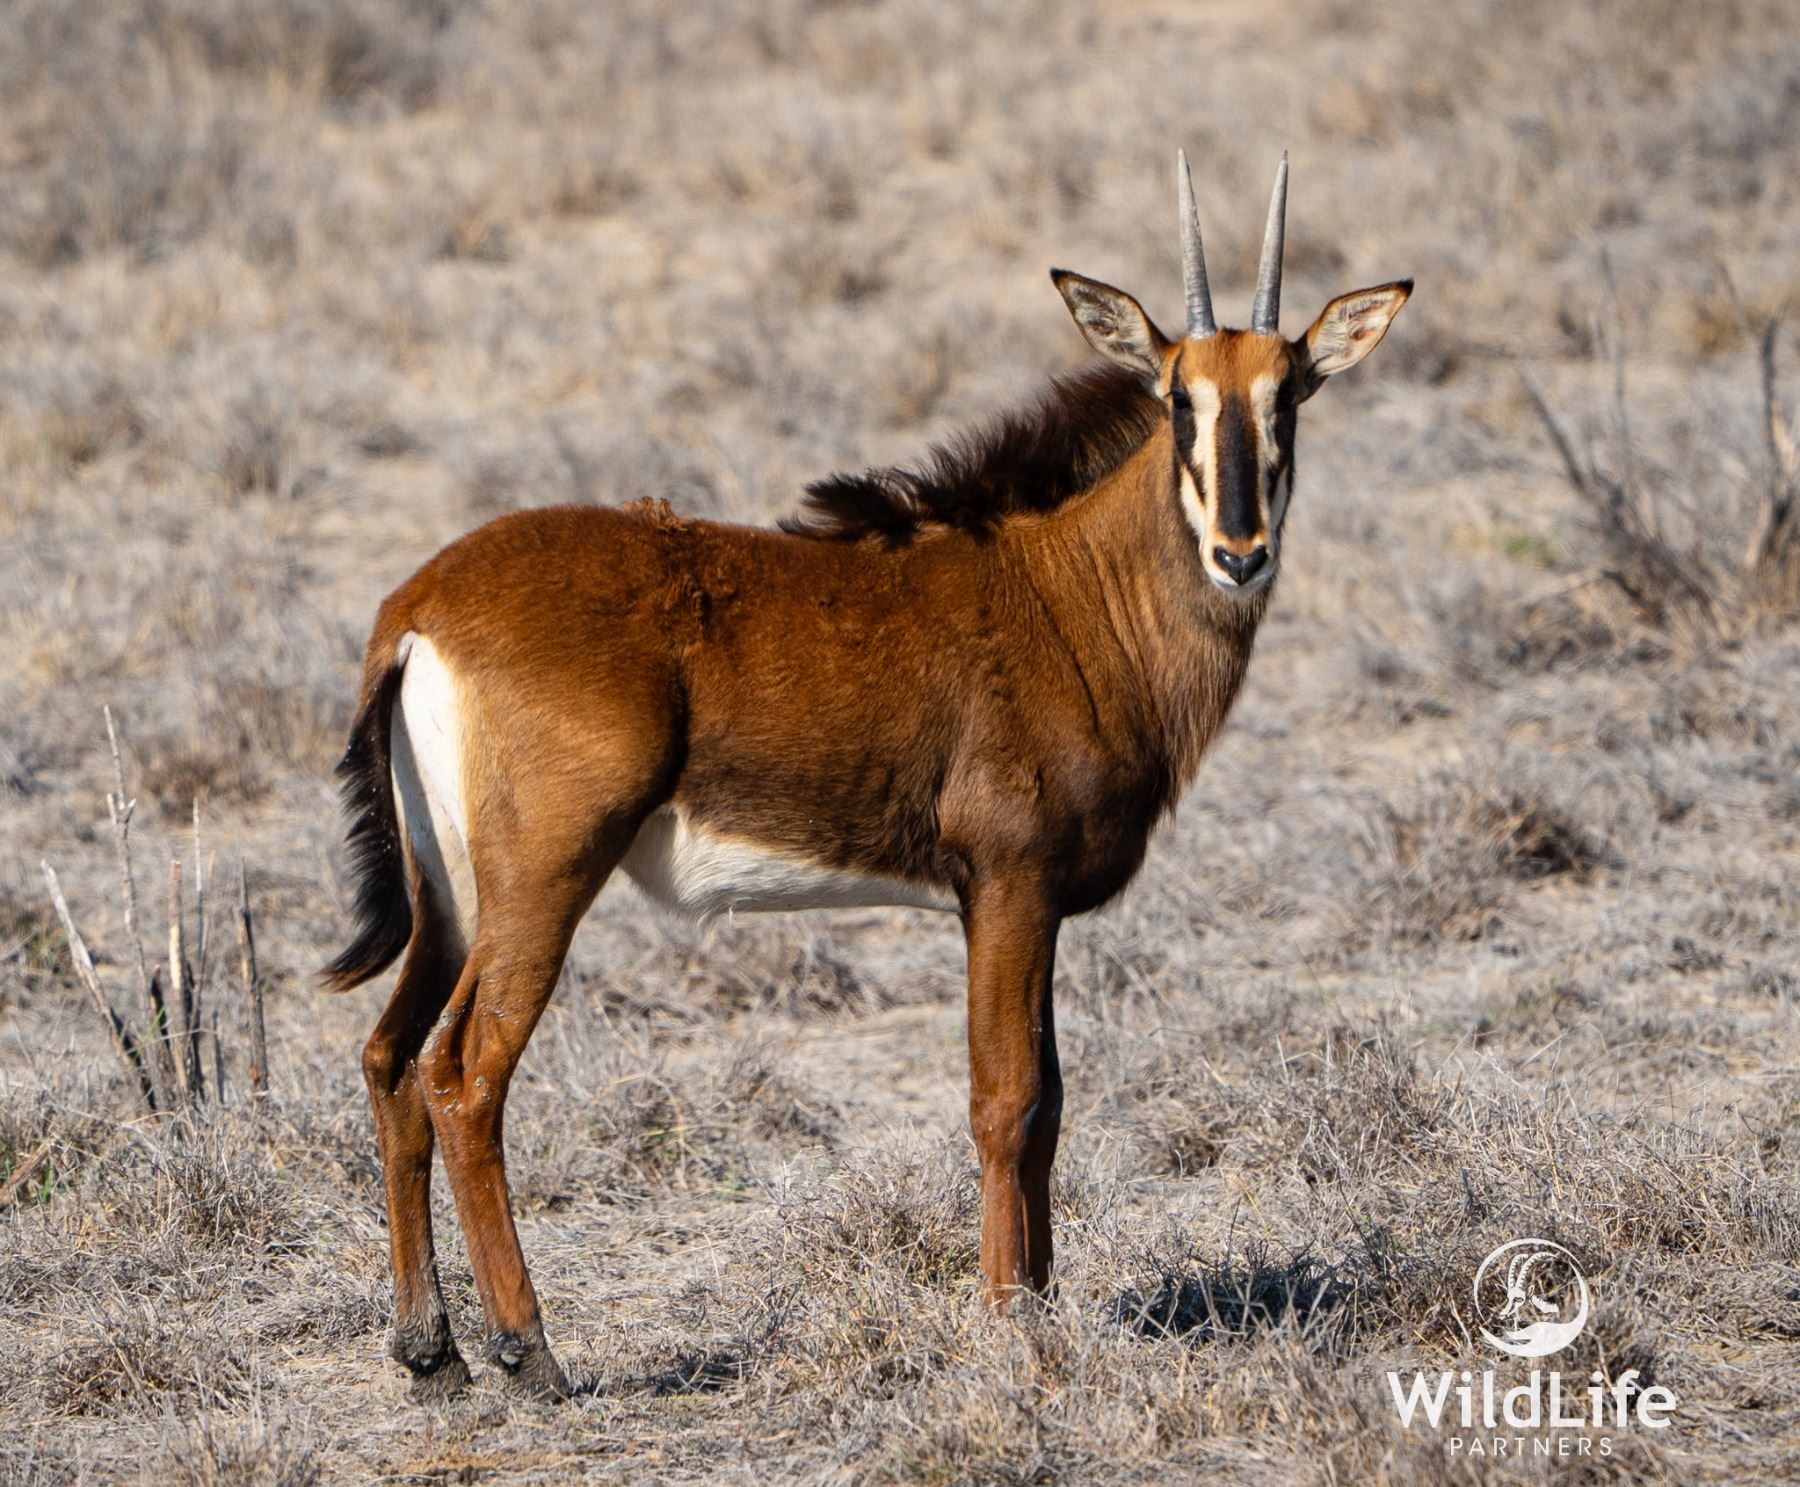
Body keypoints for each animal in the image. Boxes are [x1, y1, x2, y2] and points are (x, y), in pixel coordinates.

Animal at [325, 152, 1410, 1400]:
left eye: (1290, 395)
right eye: (1179, 396)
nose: (1241, 552)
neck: (1069, 587)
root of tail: (418, 607)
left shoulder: (1020, 902)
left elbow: (1050, 1101)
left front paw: (1040, 1304)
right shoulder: (1008, 883)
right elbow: (1007, 1099)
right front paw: (1006, 1321)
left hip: (450, 898)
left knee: (390, 1057)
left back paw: (430, 1347)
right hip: (543, 882)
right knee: (464, 1074)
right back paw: (529, 1348)